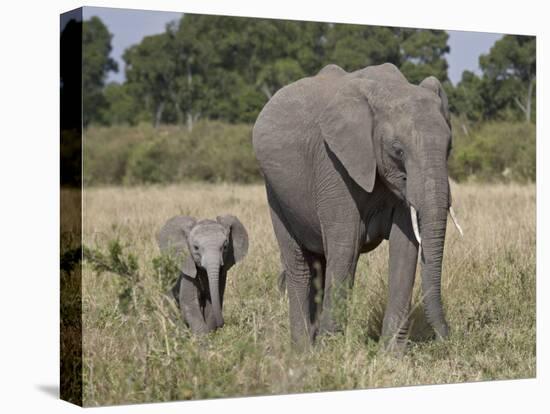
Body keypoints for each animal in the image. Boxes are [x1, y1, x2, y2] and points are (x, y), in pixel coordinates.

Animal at [254, 63, 466, 350]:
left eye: (449, 147)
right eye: (397, 150)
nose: (447, 338)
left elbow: (405, 248)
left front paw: (391, 354)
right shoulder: (334, 164)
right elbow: (346, 245)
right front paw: (331, 352)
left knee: (319, 264)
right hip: (276, 192)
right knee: (299, 265)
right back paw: (303, 350)